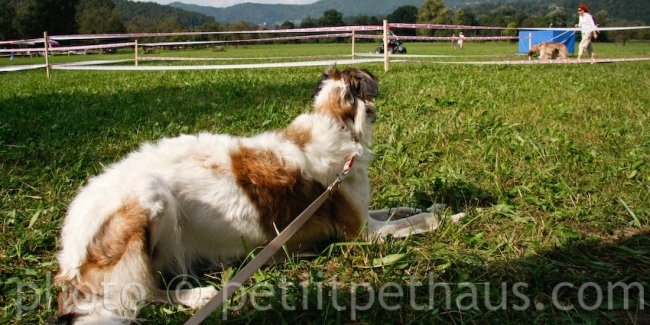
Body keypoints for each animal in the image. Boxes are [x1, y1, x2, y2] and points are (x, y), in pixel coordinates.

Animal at [54, 65, 460, 322]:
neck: (334, 122)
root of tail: (69, 251)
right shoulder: (360, 234)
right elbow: (418, 220)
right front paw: (451, 216)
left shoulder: (365, 215)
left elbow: (404, 208)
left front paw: (442, 203)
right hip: (148, 198)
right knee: (135, 295)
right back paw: (199, 294)